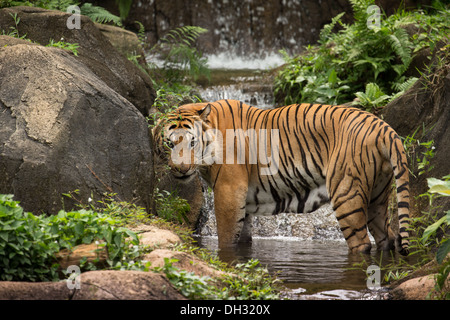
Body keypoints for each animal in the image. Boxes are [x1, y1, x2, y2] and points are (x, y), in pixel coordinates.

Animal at [153, 100, 410, 255]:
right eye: (170, 143)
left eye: (192, 143)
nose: (182, 169)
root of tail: (382, 126)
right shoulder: (242, 200)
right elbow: (243, 237)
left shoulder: (228, 191)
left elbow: (226, 238)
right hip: (377, 197)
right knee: (387, 237)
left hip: (347, 194)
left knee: (362, 244)